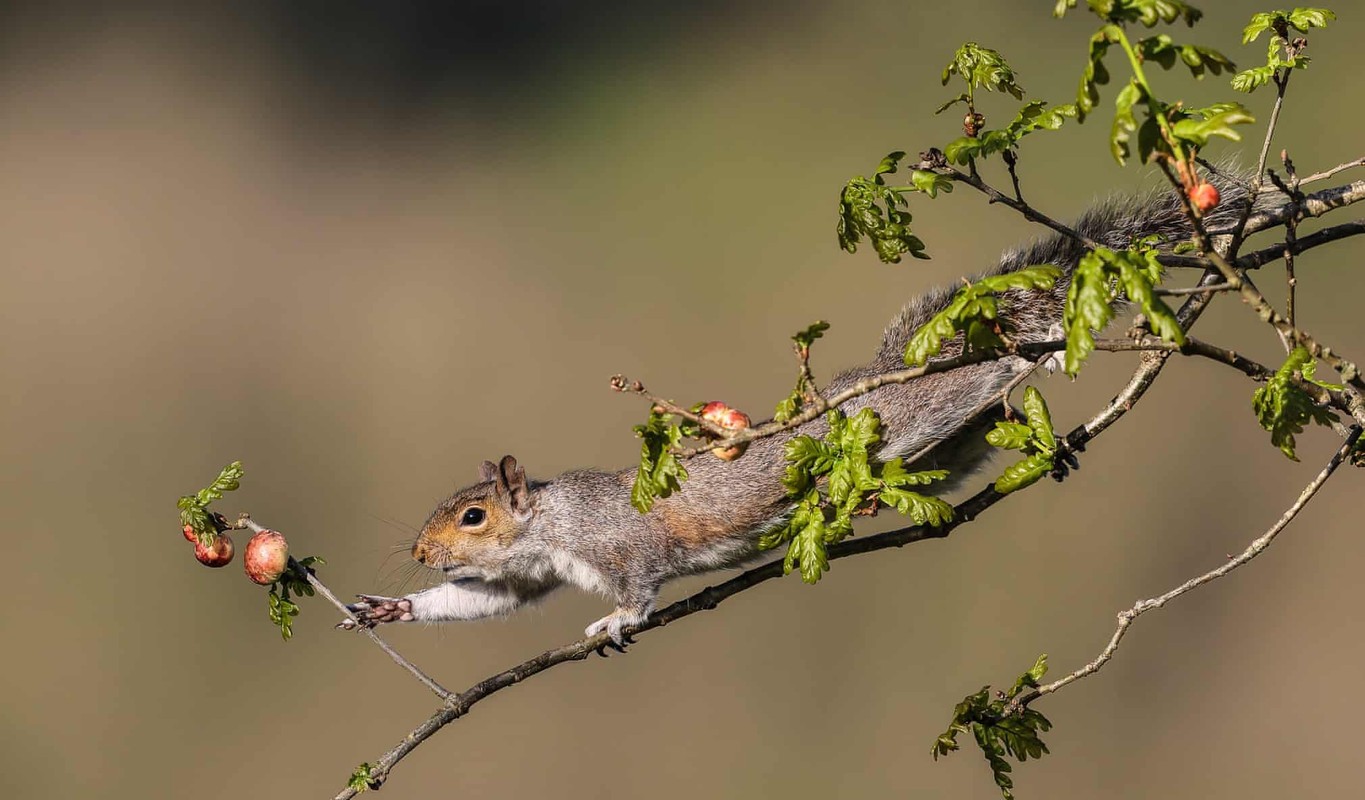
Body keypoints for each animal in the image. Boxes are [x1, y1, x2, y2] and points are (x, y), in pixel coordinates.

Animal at [338, 169, 1250, 641]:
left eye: (472, 517)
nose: (418, 553)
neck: (553, 523)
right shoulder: (527, 577)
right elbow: (482, 601)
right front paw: (393, 605)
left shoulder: (621, 546)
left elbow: (639, 586)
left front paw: (613, 624)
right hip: (942, 450)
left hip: (923, 417)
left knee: (988, 384)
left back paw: (1036, 381)